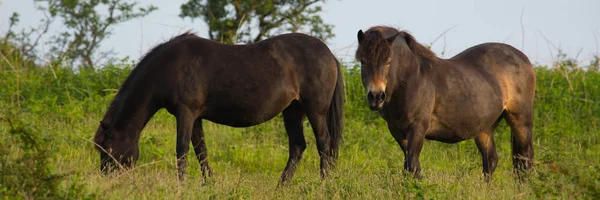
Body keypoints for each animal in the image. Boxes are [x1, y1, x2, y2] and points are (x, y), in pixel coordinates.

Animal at [95, 31, 344, 184]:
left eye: (107, 149)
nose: (106, 179)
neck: (170, 67)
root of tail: (329, 54)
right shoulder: (195, 118)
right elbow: (201, 151)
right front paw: (209, 183)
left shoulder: (185, 113)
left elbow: (182, 150)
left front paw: (181, 185)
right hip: (292, 111)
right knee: (298, 147)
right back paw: (281, 187)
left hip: (315, 111)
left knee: (324, 145)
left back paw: (322, 184)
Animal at [356, 25, 536, 180]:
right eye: (362, 61)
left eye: (388, 61)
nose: (376, 96)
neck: (412, 79)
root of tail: (524, 59)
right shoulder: (397, 131)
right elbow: (412, 167)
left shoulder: (417, 128)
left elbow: (412, 166)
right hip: (486, 127)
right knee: (490, 160)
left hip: (520, 120)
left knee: (524, 160)